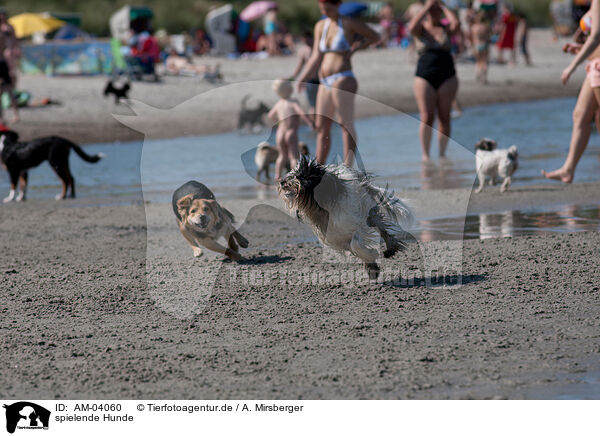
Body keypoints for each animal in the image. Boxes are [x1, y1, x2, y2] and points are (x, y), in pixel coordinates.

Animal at [278, 157, 414, 280]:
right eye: (290, 174)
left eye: (299, 176)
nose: (282, 181)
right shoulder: (335, 238)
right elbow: (353, 247)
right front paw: (372, 266)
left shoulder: (359, 223)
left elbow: (356, 244)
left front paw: (372, 256)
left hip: (369, 212)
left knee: (381, 227)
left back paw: (391, 246)